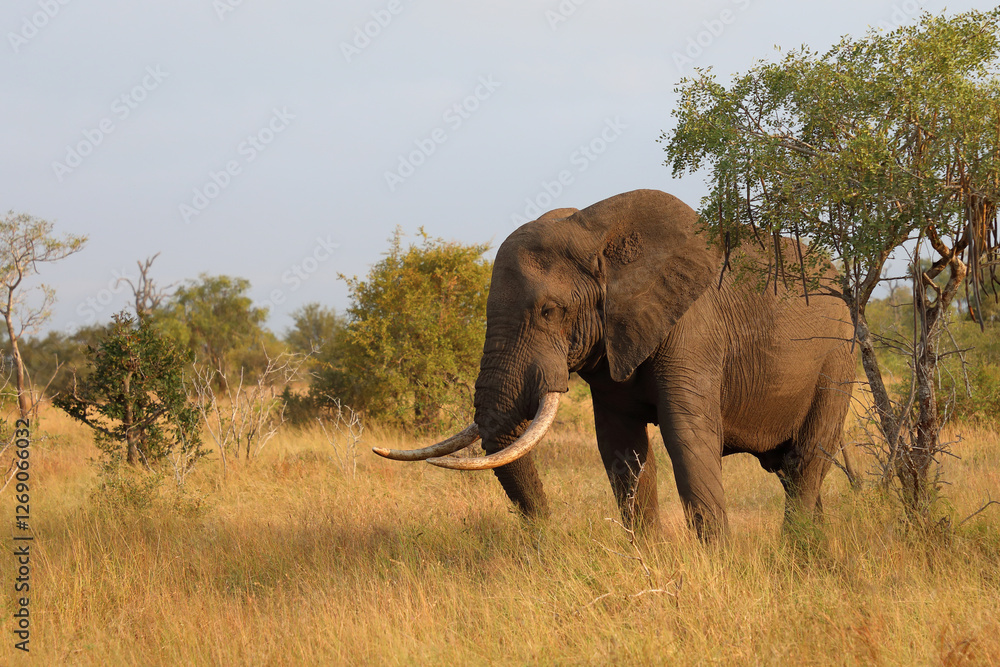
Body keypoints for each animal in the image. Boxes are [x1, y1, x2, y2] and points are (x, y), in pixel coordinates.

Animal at [375, 189, 855, 539]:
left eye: (548, 311)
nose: (545, 535)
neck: (596, 236)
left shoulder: (693, 328)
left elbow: (687, 438)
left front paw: (717, 567)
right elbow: (622, 447)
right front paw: (651, 562)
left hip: (838, 357)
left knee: (806, 462)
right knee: (794, 473)